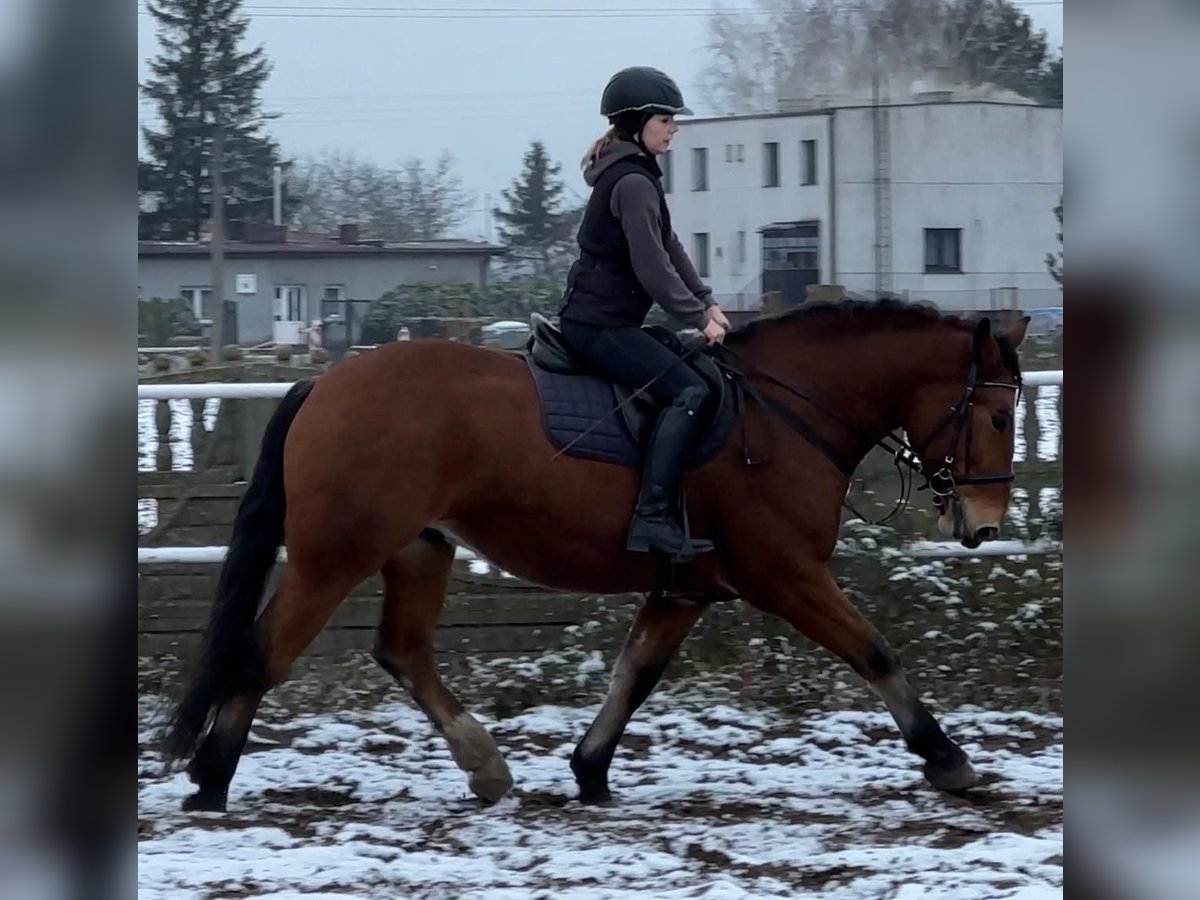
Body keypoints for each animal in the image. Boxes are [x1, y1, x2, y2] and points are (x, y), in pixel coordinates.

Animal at [164, 300, 1032, 816]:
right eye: (995, 415)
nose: (986, 524)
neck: (786, 411)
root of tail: (325, 382)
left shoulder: (686, 590)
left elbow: (634, 674)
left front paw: (589, 768)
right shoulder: (784, 575)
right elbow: (874, 652)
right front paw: (946, 757)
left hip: (418, 549)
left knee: (402, 653)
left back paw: (485, 767)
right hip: (334, 557)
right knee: (264, 651)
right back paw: (211, 780)